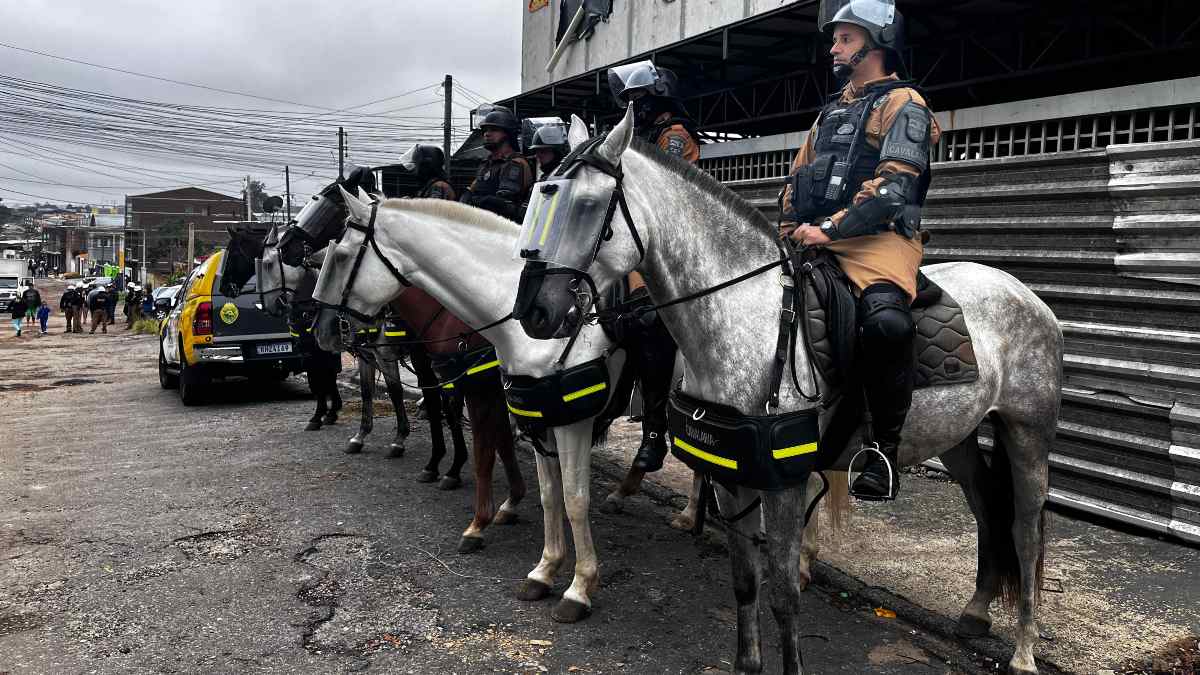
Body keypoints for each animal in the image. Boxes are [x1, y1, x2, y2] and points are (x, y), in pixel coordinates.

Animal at [513, 107, 1060, 667]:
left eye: (585, 205)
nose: (535, 312)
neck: (746, 318)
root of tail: (1022, 292)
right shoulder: (730, 475)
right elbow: (745, 583)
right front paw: (746, 664)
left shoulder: (785, 485)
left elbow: (783, 594)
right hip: (960, 438)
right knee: (986, 509)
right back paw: (975, 611)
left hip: (1027, 433)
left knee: (1026, 531)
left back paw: (1023, 650)